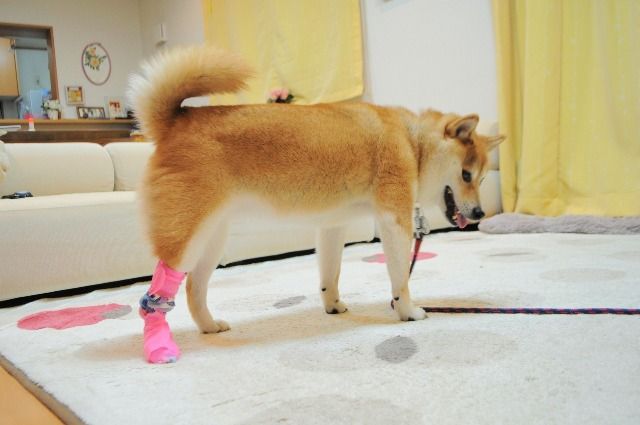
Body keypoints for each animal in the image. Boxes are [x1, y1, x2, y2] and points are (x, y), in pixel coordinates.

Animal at [128, 46, 504, 362]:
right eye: (467, 175)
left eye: (483, 179)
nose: (480, 213)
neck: (413, 144)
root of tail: (175, 122)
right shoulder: (394, 219)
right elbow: (400, 277)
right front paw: (407, 311)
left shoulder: (332, 225)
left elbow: (330, 273)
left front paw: (333, 305)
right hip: (186, 236)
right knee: (161, 291)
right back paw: (160, 347)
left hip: (212, 238)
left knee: (194, 287)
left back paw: (209, 327)